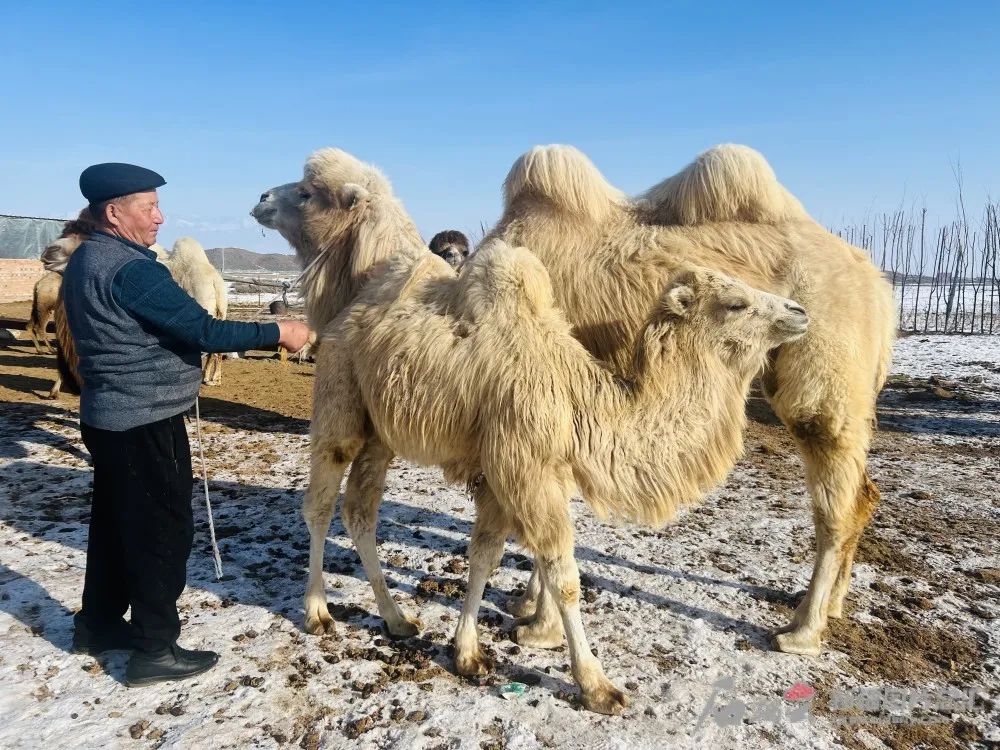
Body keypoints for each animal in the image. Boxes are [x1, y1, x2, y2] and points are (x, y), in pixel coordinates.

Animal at [254, 148, 808, 716]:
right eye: (735, 303)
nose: (799, 311)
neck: (577, 395)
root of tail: (345, 314)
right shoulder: (525, 467)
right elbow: (563, 578)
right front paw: (596, 684)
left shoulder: (511, 471)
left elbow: (485, 555)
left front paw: (466, 651)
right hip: (340, 398)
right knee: (320, 502)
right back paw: (319, 612)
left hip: (381, 433)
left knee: (360, 512)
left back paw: (397, 619)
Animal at [480, 142, 896, 656]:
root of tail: (875, 280)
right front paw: (529, 607)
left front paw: (540, 626)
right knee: (864, 494)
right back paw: (832, 605)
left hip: (822, 378)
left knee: (834, 504)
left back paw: (802, 630)